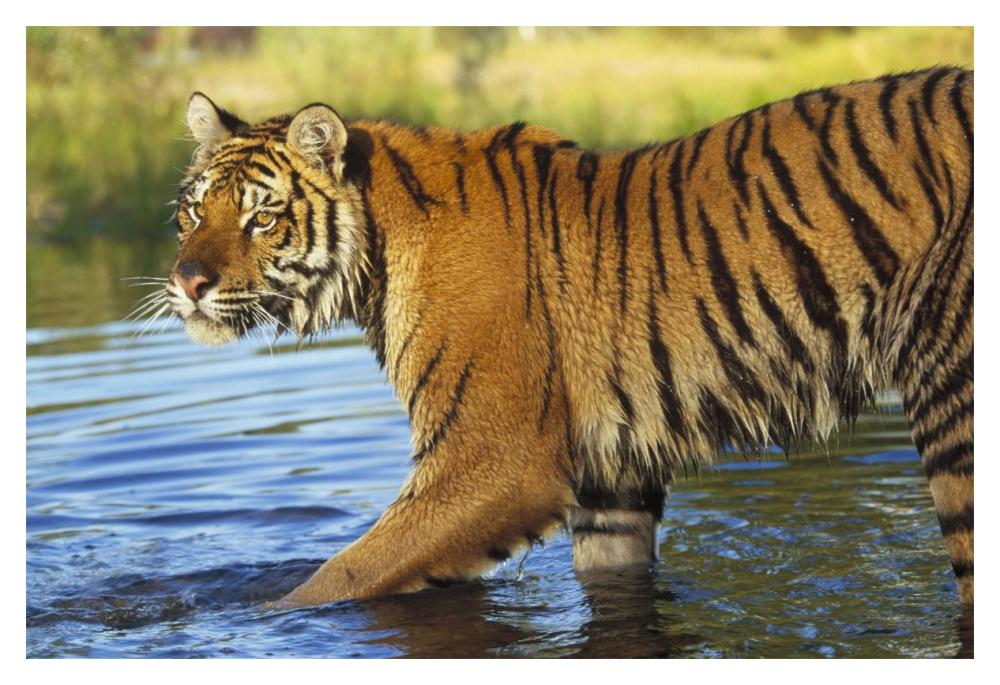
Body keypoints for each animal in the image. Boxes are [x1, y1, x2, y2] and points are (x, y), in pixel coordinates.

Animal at [163, 66, 973, 608]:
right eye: (193, 212)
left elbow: (340, 576)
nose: (187, 281)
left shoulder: (493, 460)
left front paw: (258, 615)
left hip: (952, 396)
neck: (377, 261)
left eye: (261, 217)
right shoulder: (612, 472)